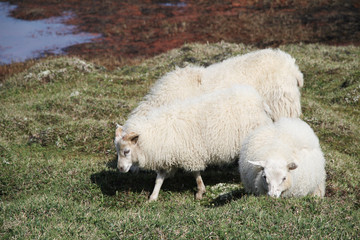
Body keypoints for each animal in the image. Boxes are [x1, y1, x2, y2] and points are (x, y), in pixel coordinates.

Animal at [116, 85, 272, 202]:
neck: (154, 134)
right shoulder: (167, 156)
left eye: (126, 151)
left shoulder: (190, 153)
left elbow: (195, 173)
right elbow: (159, 179)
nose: (120, 169)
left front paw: (200, 192)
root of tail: (258, 99)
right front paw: (153, 197)